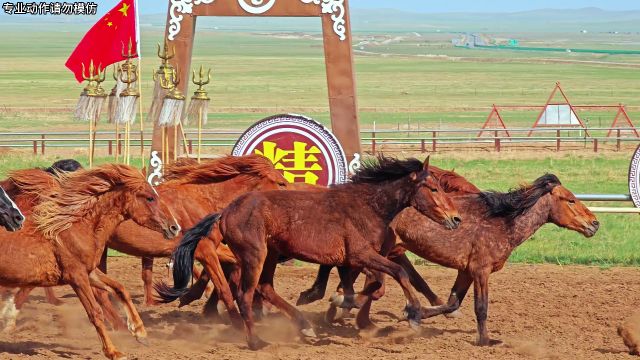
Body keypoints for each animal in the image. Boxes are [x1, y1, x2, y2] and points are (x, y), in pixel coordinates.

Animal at [0, 165, 180, 358]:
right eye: (150, 198)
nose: (174, 227)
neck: (76, 229)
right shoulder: (77, 277)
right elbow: (95, 312)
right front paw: (113, 352)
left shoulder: (90, 272)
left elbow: (120, 289)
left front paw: (140, 333)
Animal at [159, 156, 460, 350]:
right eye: (433, 188)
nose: (456, 219)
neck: (368, 207)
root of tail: (225, 212)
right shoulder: (362, 255)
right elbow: (397, 273)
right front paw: (414, 314)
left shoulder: (354, 260)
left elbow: (368, 285)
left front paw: (342, 303)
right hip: (255, 255)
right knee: (245, 295)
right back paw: (256, 342)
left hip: (270, 255)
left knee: (265, 288)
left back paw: (304, 325)